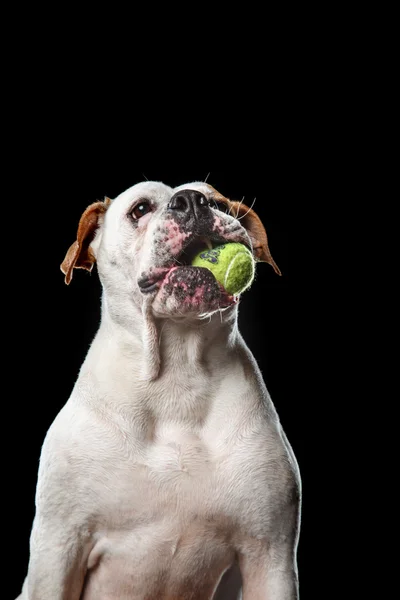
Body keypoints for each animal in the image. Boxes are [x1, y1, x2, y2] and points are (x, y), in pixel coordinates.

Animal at [17, 182, 302, 600]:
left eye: (217, 201)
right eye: (139, 209)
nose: (193, 201)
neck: (177, 376)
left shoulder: (270, 554)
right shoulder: (59, 549)